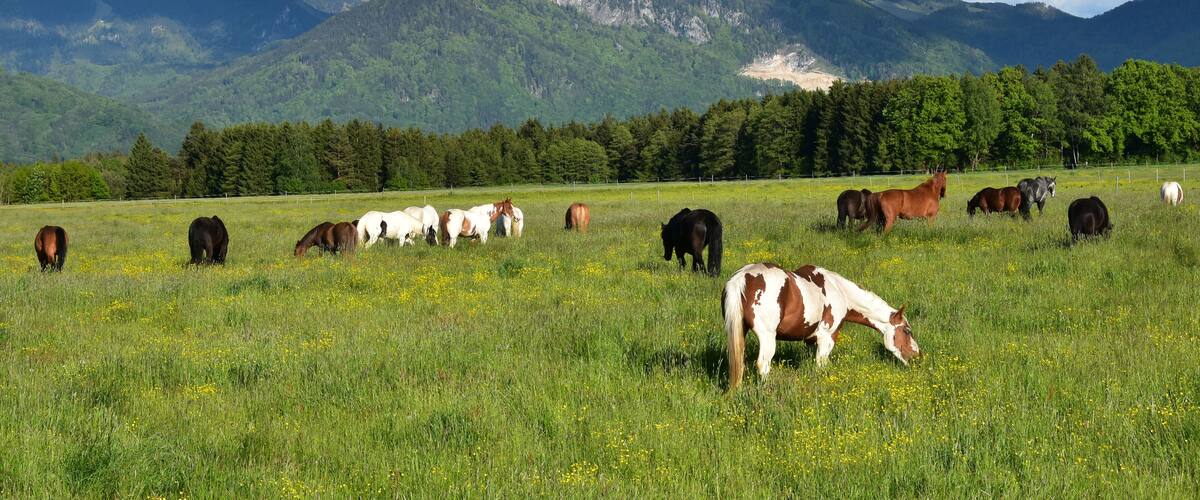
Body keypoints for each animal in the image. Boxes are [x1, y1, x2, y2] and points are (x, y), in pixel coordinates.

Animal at [722, 263, 919, 389]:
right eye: (907, 331)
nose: (918, 357)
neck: (840, 291)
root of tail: (741, 279)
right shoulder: (827, 338)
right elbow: (821, 365)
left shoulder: (811, 340)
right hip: (767, 337)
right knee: (763, 364)